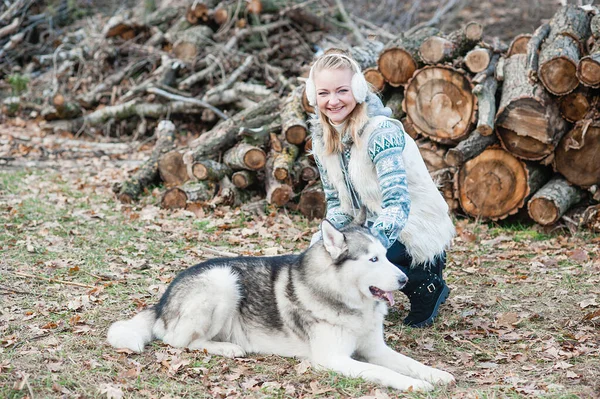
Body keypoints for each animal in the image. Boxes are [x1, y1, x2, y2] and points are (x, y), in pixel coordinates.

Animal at [108, 220, 454, 392]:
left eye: (385, 255)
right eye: (373, 259)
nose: (403, 280)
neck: (346, 299)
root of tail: (162, 300)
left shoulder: (375, 348)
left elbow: (408, 362)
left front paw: (435, 375)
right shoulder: (332, 359)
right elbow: (381, 372)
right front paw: (414, 385)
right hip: (223, 280)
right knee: (179, 341)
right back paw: (227, 348)